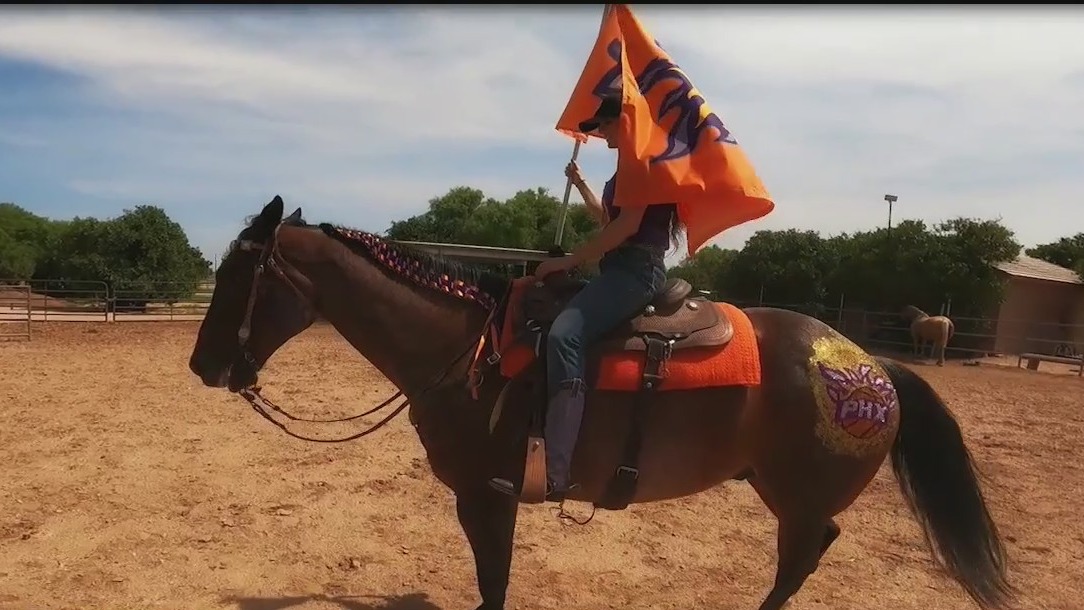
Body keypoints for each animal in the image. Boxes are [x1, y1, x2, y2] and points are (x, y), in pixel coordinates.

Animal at [188, 197, 1015, 610]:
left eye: (236, 276)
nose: (201, 365)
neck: (472, 354)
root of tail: (871, 365)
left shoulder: (488, 496)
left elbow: (494, 584)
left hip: (799, 500)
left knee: (799, 561)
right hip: (785, 492)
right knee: (815, 551)